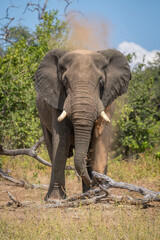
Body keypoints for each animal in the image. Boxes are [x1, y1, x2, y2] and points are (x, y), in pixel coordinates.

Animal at [34, 47, 131, 200]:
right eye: (65, 81)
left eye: (100, 81)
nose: (93, 180)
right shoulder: (58, 100)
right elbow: (61, 140)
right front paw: (55, 199)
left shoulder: (106, 101)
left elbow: (100, 139)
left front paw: (99, 195)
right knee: (51, 147)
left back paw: (87, 194)